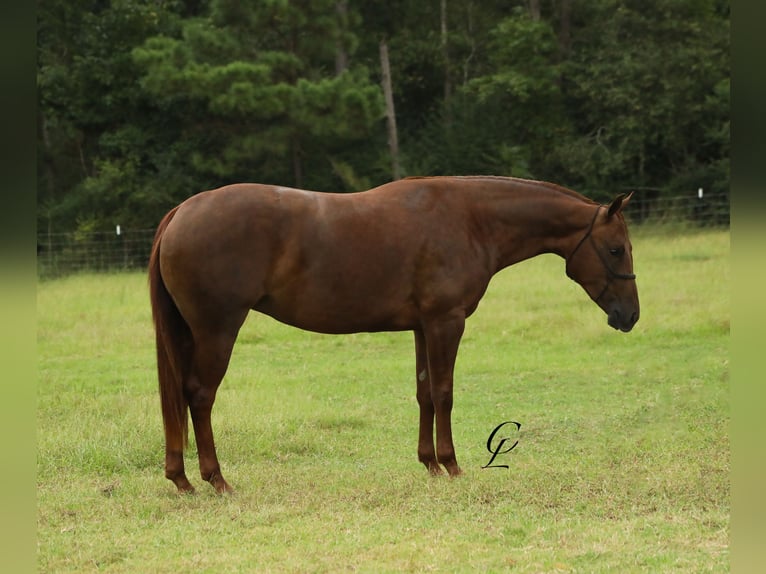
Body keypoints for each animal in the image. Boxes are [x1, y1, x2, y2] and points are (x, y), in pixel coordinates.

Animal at [147, 177, 640, 496]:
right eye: (616, 249)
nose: (630, 316)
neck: (470, 219)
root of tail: (182, 211)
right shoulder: (446, 322)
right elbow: (444, 393)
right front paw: (452, 465)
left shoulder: (423, 326)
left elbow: (424, 393)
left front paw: (430, 464)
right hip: (217, 330)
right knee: (199, 396)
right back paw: (216, 479)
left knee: (182, 397)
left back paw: (181, 478)